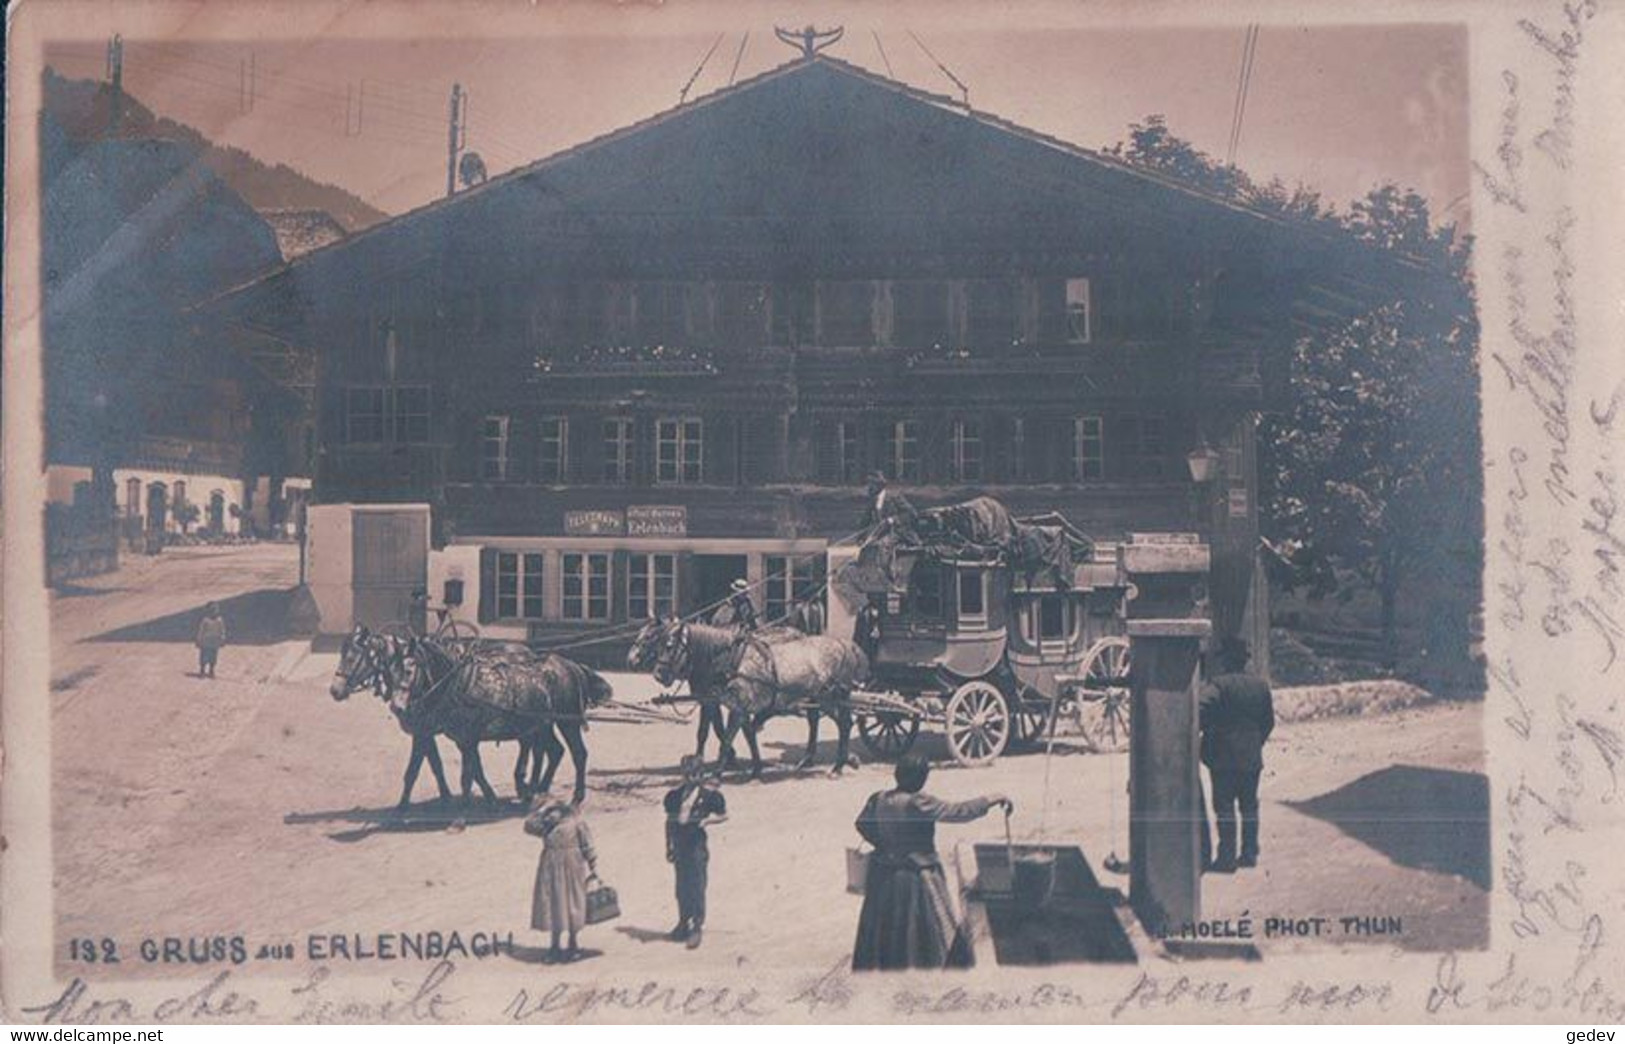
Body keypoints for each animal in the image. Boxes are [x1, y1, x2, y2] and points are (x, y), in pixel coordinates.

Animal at [653, 621, 871, 777]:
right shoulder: (726, 705)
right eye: (658, 643)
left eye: (670, 646)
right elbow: (743, 735)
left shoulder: (736, 708)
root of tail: (844, 644)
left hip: (832, 697)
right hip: (822, 698)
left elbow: (726, 739)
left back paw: (838, 766)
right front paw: (756, 768)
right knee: (831, 722)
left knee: (842, 723)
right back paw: (832, 761)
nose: (658, 675)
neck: (732, 661)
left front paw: (716, 773)